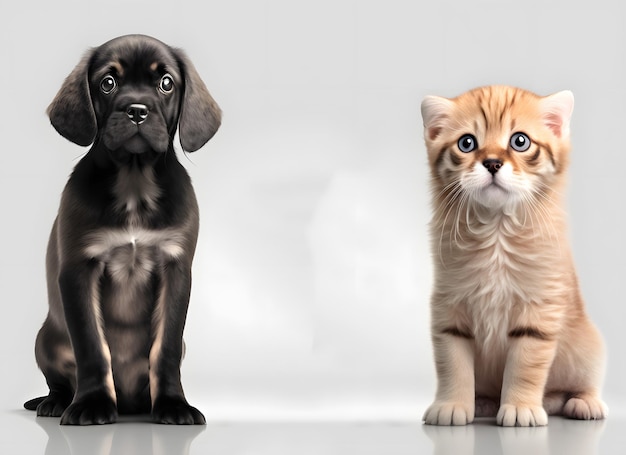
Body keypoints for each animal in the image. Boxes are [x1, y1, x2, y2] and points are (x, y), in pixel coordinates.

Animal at [23, 33, 219, 426]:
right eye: (108, 82)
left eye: (166, 82)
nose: (137, 111)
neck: (134, 180)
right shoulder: (78, 269)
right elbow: (92, 347)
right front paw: (92, 403)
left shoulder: (175, 268)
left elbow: (165, 348)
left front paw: (173, 404)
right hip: (44, 340)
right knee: (59, 379)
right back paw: (56, 402)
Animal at [420, 85, 604, 428]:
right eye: (467, 143)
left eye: (520, 141)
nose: (492, 162)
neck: (496, 231)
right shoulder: (448, 308)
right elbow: (452, 364)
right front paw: (451, 405)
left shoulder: (539, 312)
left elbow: (525, 366)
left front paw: (521, 408)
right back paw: (484, 403)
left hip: (589, 349)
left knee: (579, 385)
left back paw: (581, 403)